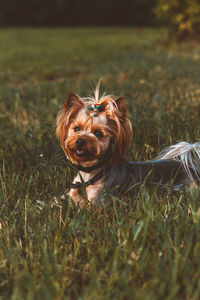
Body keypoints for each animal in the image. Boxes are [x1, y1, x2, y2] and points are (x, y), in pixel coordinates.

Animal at [56, 84, 200, 206]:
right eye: (76, 129)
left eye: (98, 133)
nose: (80, 141)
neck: (89, 173)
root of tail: (188, 165)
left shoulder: (97, 200)